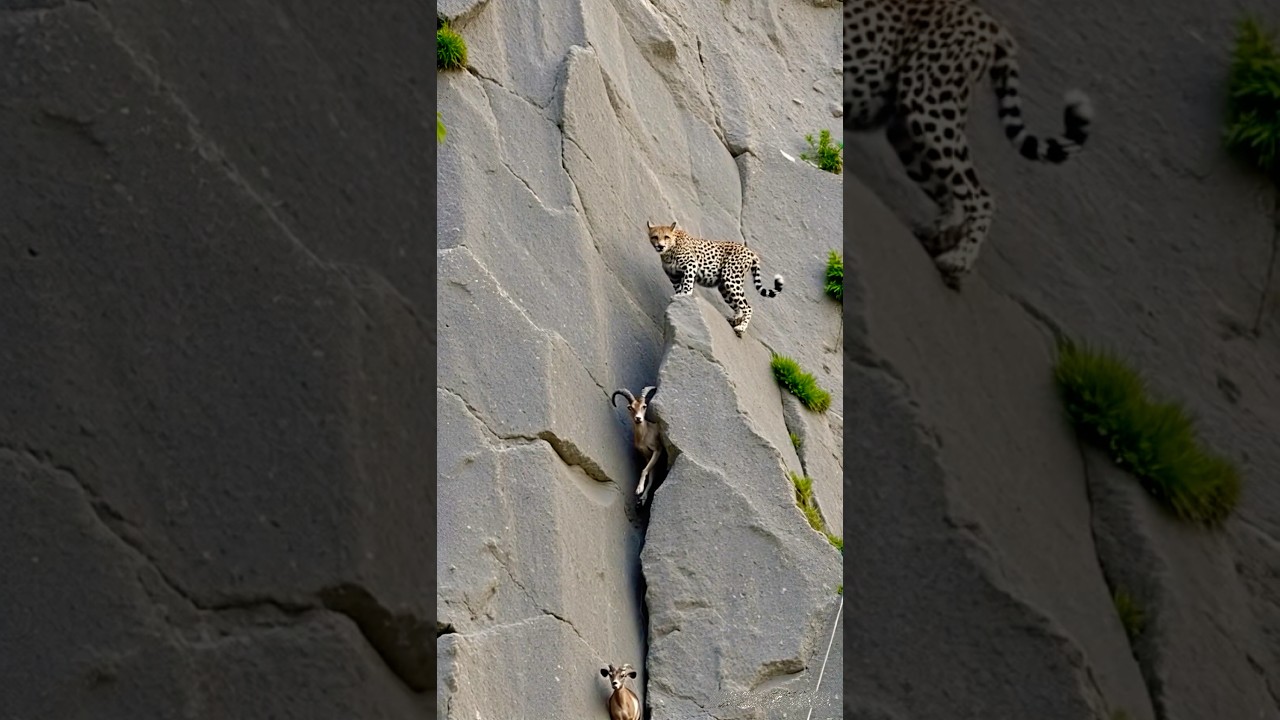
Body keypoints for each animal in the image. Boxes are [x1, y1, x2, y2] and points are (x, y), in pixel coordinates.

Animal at [647, 220, 784, 338]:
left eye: (666, 237)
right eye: (655, 237)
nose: (660, 246)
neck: (669, 250)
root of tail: (750, 251)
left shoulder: (691, 265)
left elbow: (687, 285)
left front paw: (684, 296)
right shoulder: (674, 277)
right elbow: (679, 287)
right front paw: (679, 299)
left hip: (731, 279)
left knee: (748, 307)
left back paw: (741, 327)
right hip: (725, 287)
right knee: (738, 307)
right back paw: (735, 320)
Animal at [843, 0, 1094, 288]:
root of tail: (993, 25)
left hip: (928, 107)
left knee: (980, 197)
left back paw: (958, 260)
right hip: (909, 133)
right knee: (953, 198)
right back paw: (939, 237)